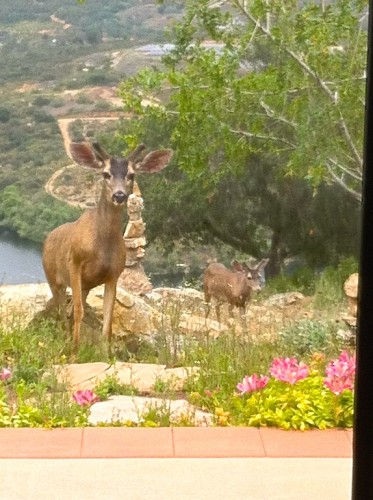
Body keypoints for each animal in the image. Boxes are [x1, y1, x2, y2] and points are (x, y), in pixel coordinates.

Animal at [41, 141, 172, 352]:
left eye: (131, 175)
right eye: (106, 173)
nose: (119, 195)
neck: (101, 248)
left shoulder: (114, 274)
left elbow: (107, 320)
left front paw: (105, 354)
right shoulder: (74, 262)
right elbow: (79, 312)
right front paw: (75, 353)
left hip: (84, 285)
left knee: (69, 309)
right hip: (52, 277)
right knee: (61, 310)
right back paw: (65, 342)